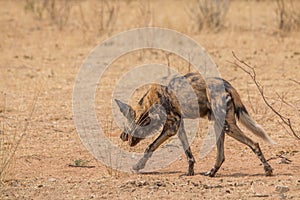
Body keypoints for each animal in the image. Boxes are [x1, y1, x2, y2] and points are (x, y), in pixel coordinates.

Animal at [115, 72, 274, 177]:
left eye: (125, 126)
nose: (121, 136)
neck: (150, 104)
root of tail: (227, 84)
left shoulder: (171, 127)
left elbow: (150, 146)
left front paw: (138, 166)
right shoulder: (178, 126)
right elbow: (188, 152)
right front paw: (190, 172)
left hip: (228, 126)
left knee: (254, 143)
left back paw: (267, 170)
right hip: (219, 125)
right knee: (221, 155)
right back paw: (211, 172)